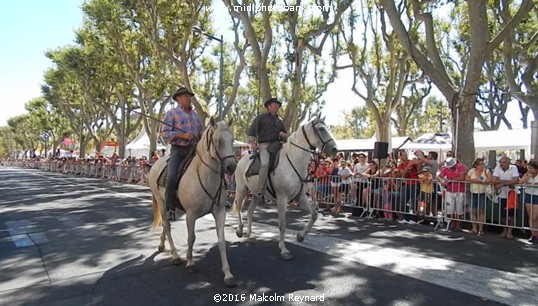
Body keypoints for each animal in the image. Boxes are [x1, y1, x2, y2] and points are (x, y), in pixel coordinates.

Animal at [149, 117, 237, 286]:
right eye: (218, 140)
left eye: (232, 140)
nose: (231, 167)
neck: (205, 175)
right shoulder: (190, 215)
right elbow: (191, 238)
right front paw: (190, 263)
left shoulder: (220, 211)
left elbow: (221, 241)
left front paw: (228, 274)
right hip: (162, 203)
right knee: (167, 226)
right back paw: (175, 256)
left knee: (165, 225)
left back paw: (162, 245)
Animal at [230, 116, 336, 260]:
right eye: (321, 129)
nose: (334, 149)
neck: (294, 161)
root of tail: (240, 159)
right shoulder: (282, 198)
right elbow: (282, 224)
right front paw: (284, 250)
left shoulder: (301, 197)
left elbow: (314, 214)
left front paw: (300, 236)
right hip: (241, 190)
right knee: (239, 208)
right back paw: (240, 230)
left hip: (256, 195)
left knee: (250, 212)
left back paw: (250, 234)